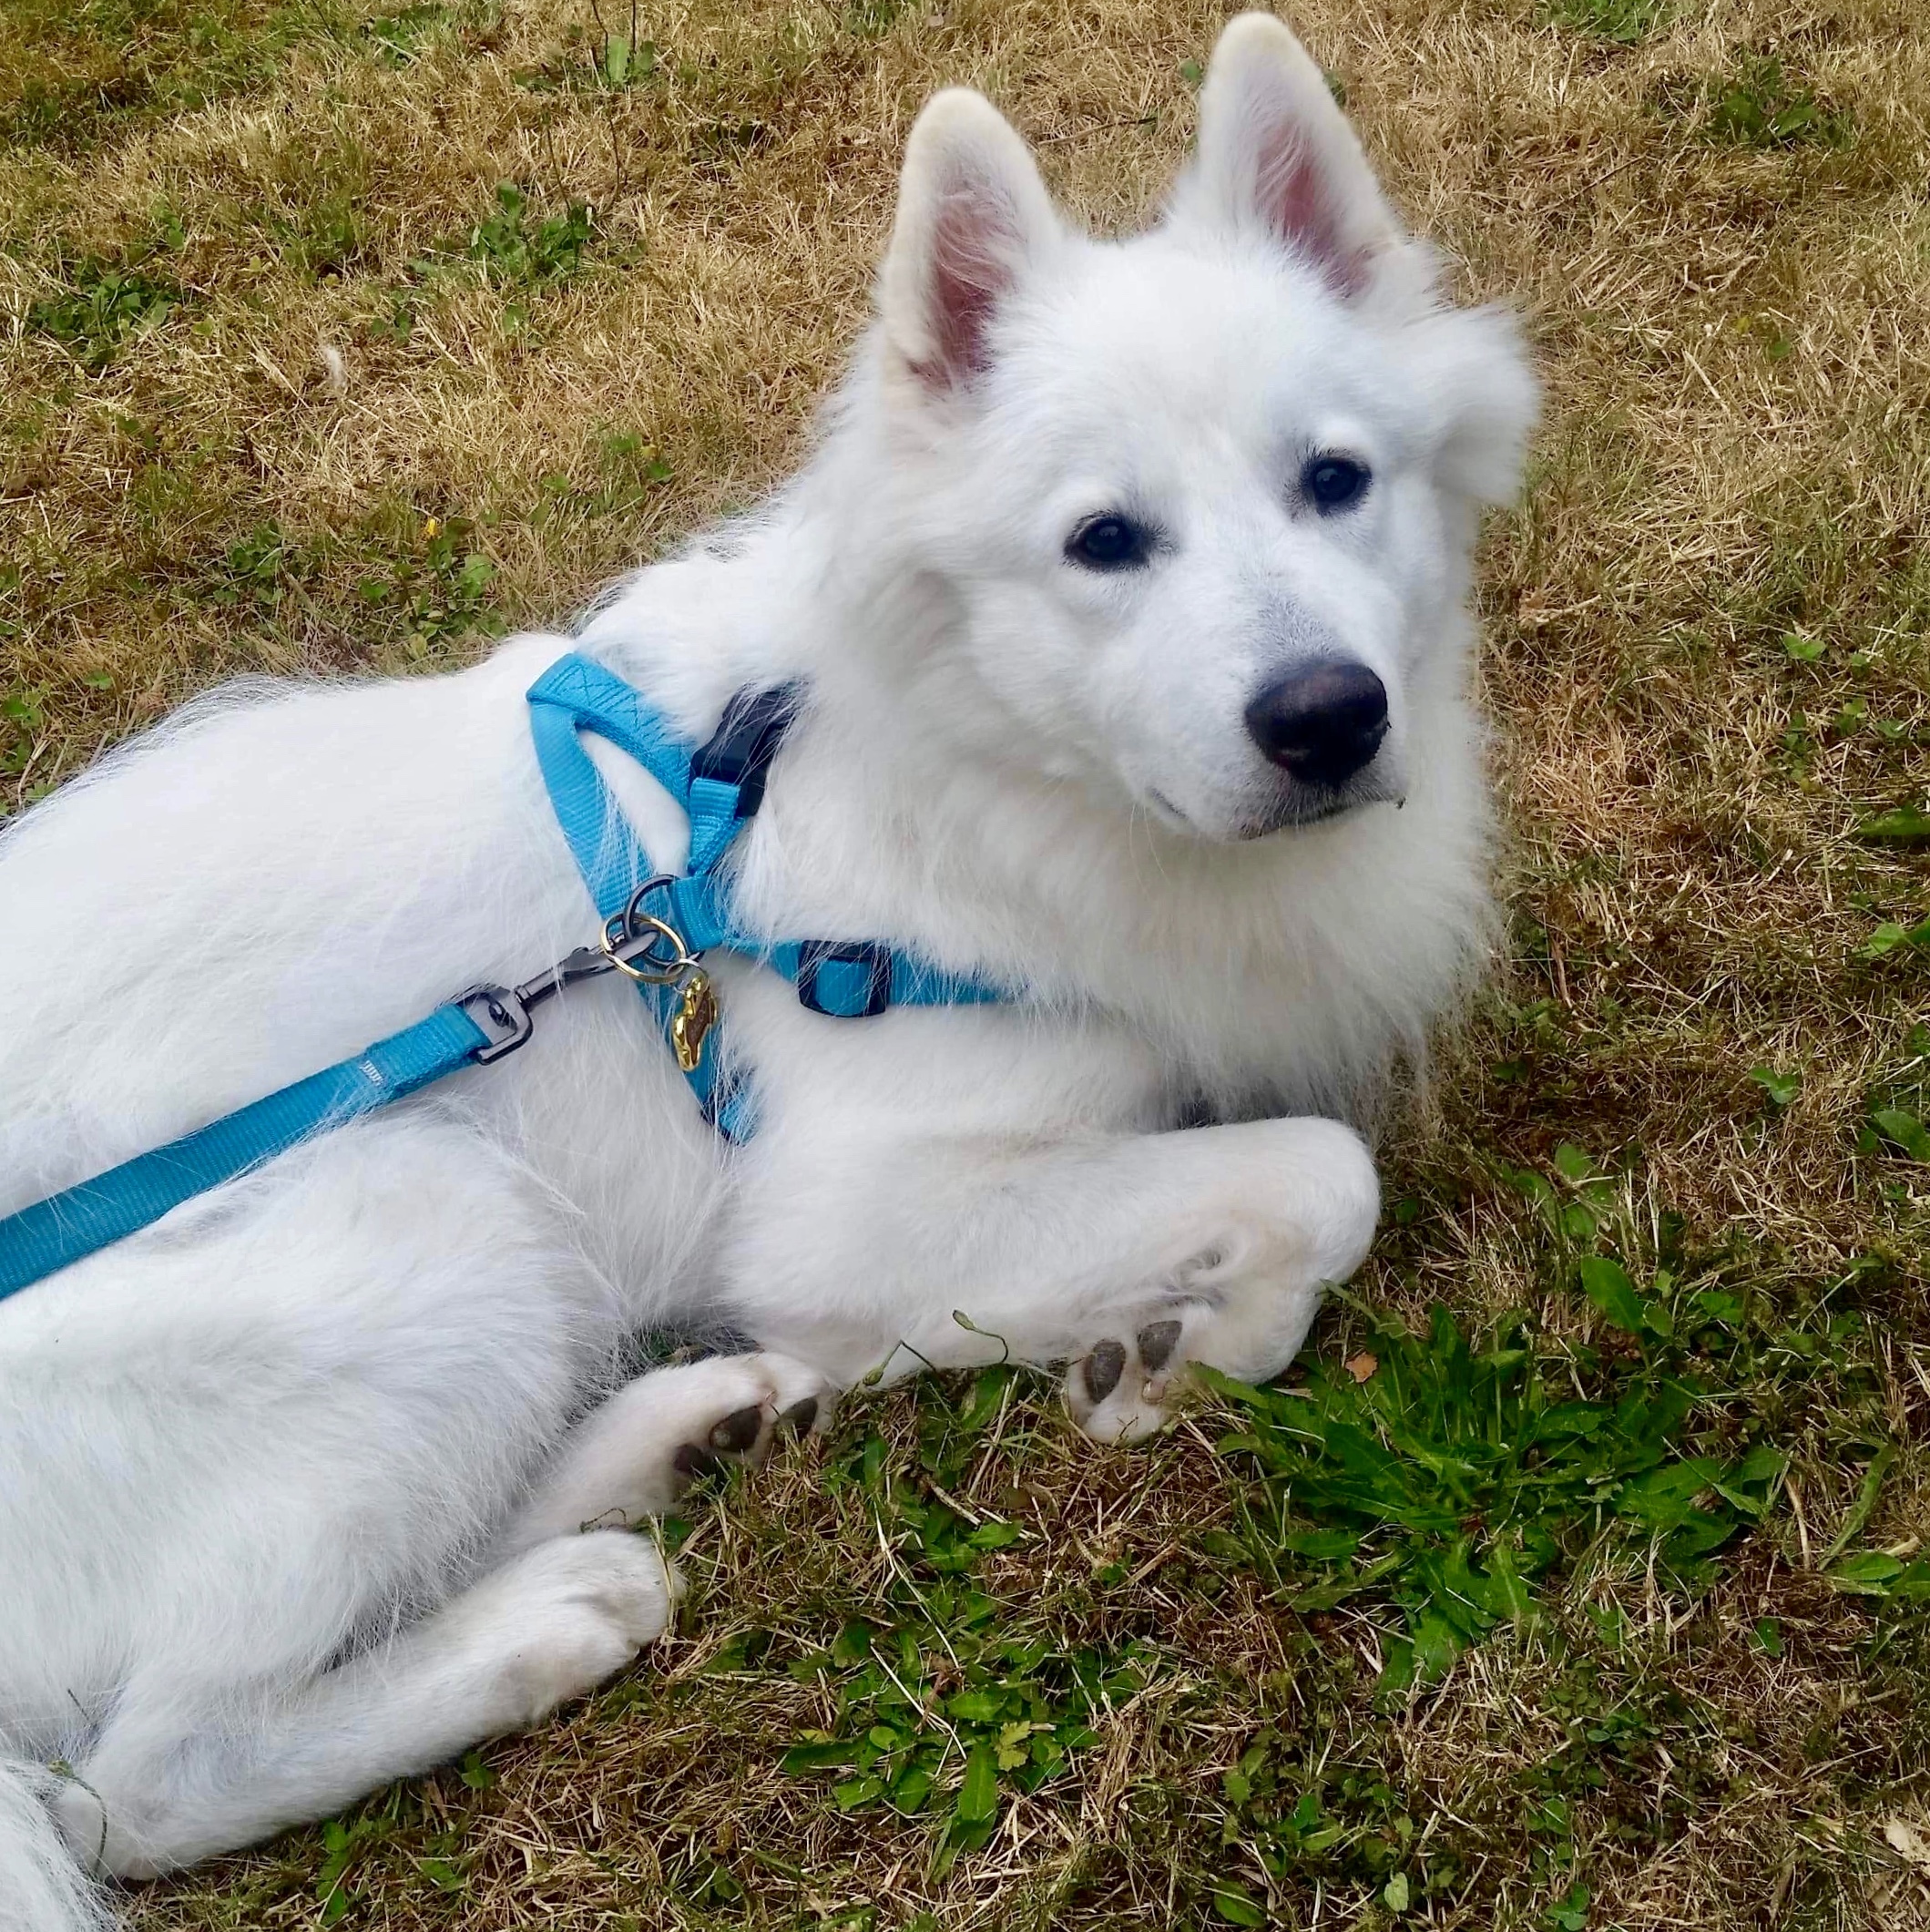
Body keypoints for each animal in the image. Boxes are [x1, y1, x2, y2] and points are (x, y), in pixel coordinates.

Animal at [0, 18, 1537, 1932]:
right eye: (1102, 542)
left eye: (1332, 480)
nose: (1326, 719)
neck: (978, 771)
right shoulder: (843, 1219)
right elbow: (1323, 1177)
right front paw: (1191, 1345)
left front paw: (1152, 1331)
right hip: (420, 1214)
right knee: (139, 1782)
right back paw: (542, 1626)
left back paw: (669, 1448)